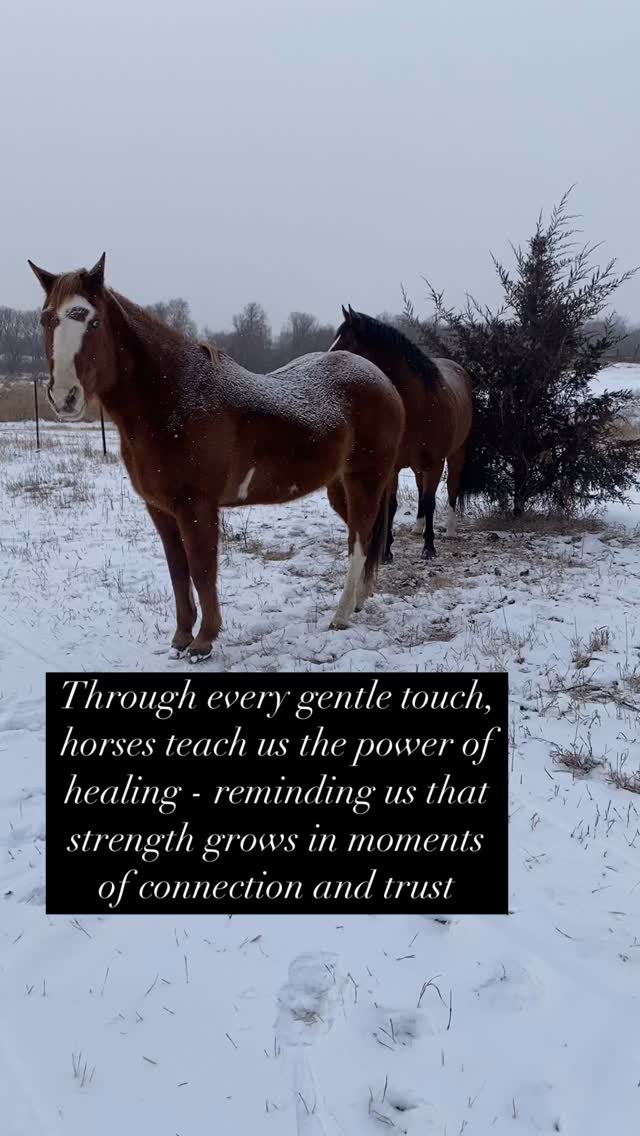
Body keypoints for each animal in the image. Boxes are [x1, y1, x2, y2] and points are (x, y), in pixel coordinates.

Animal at [28, 256, 404, 660]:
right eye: (47, 320)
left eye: (93, 321)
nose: (64, 397)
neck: (173, 400)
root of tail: (383, 381)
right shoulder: (160, 509)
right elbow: (178, 572)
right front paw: (180, 638)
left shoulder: (197, 508)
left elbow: (202, 570)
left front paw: (204, 641)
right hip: (340, 486)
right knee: (364, 536)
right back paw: (360, 600)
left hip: (365, 479)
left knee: (360, 538)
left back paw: (342, 614)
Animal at [330, 306, 474, 562]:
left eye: (347, 344)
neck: (418, 404)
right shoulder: (394, 465)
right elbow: (393, 504)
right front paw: (386, 551)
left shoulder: (435, 464)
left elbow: (430, 501)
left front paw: (429, 547)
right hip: (417, 465)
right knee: (419, 487)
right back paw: (417, 527)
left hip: (457, 454)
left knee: (452, 488)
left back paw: (450, 530)